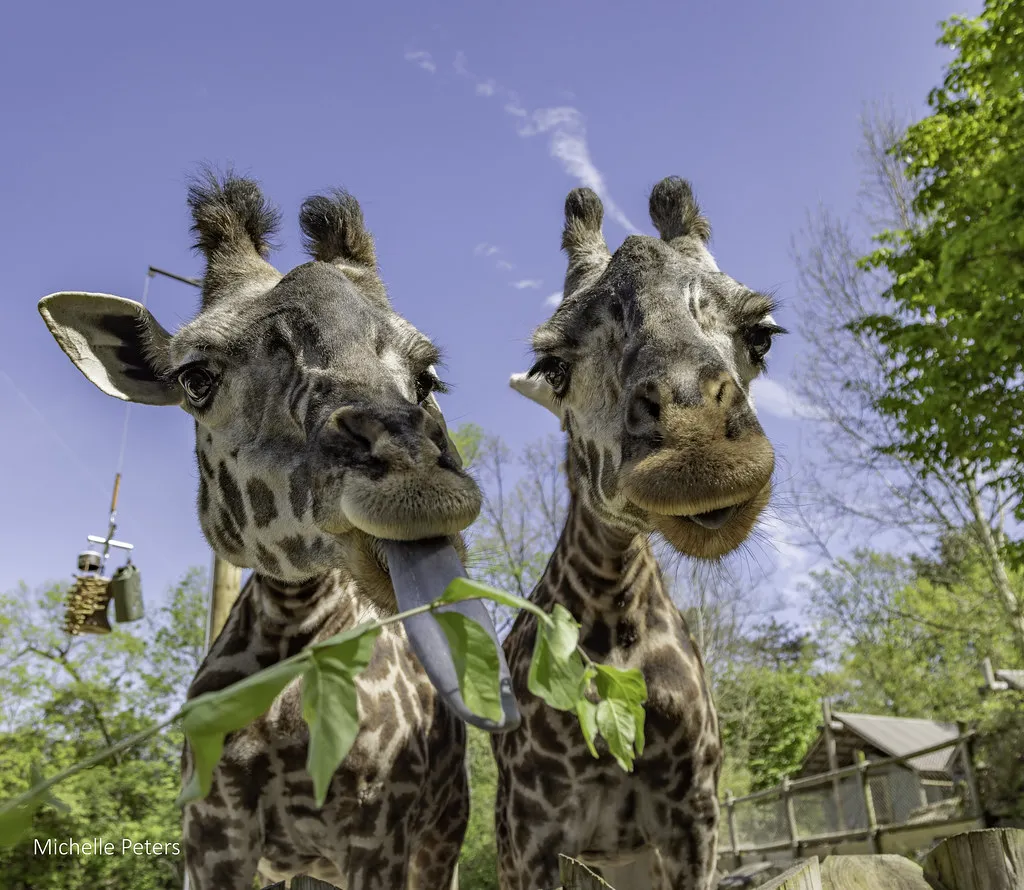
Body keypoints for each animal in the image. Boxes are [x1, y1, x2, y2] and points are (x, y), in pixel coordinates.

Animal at [37, 172, 510, 890]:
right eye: (196, 377)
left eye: (428, 376)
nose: (419, 485)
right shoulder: (212, 829)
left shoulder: (380, 832)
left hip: (440, 838)